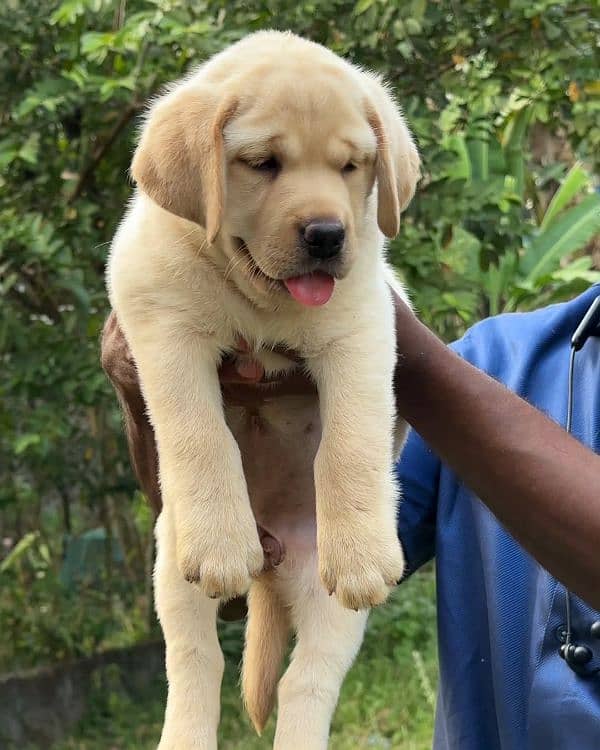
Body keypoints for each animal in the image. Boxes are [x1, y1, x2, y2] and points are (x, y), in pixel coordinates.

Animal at [106, 29, 418, 750]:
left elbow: (352, 441)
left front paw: (365, 548)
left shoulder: (363, 325)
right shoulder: (156, 316)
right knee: (196, 663)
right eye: (262, 163)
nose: (328, 235)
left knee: (305, 682)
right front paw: (222, 531)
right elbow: (197, 430)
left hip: (331, 604)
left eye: (353, 166)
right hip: (174, 565)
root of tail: (274, 555)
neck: (258, 301)